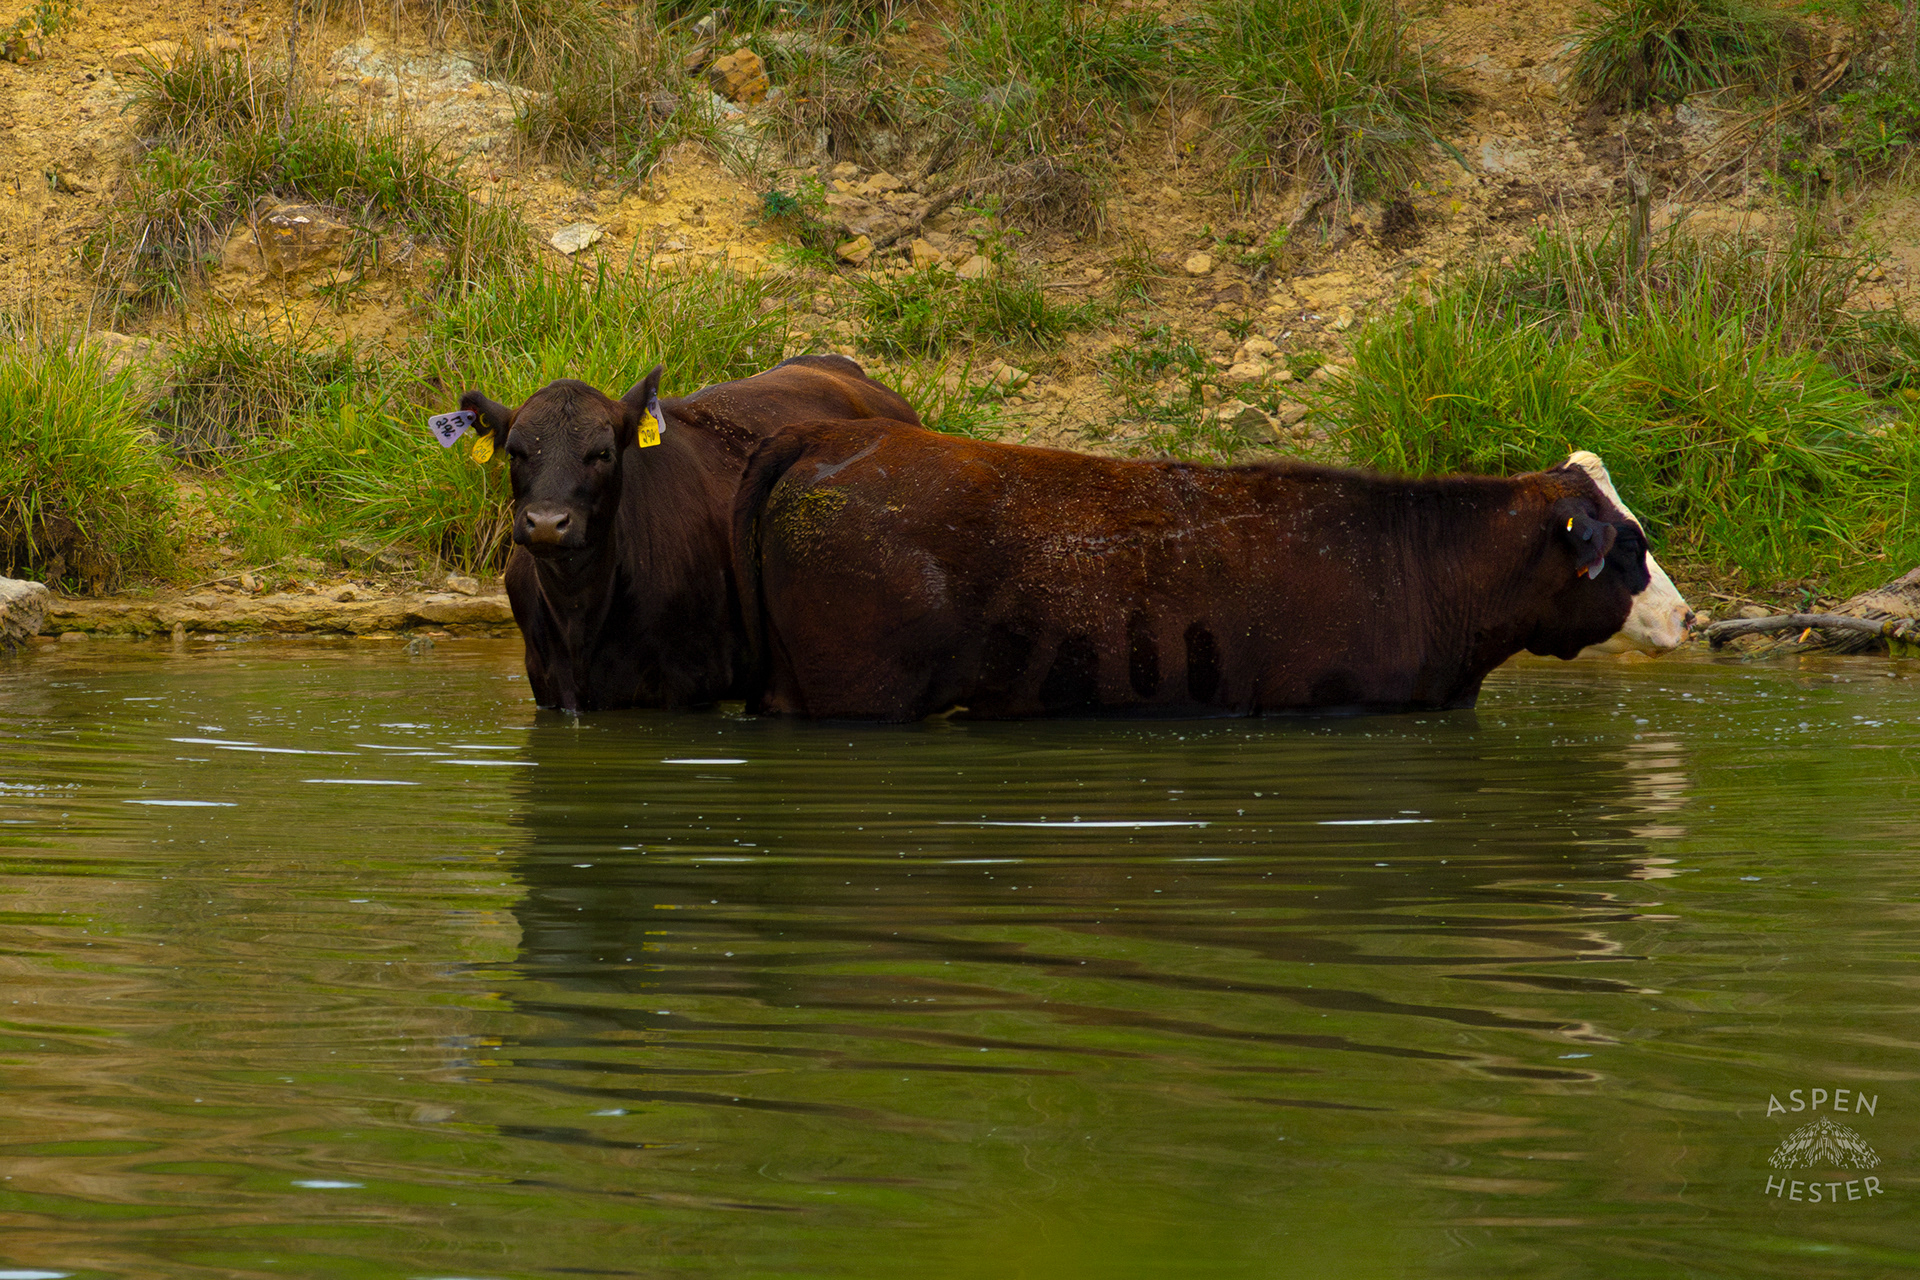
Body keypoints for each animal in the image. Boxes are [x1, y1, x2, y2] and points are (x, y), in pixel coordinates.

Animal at [458, 354, 918, 713]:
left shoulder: (692, 683)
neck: (578, 615)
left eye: (603, 453)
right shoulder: (547, 686)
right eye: (514, 453)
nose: (547, 523)